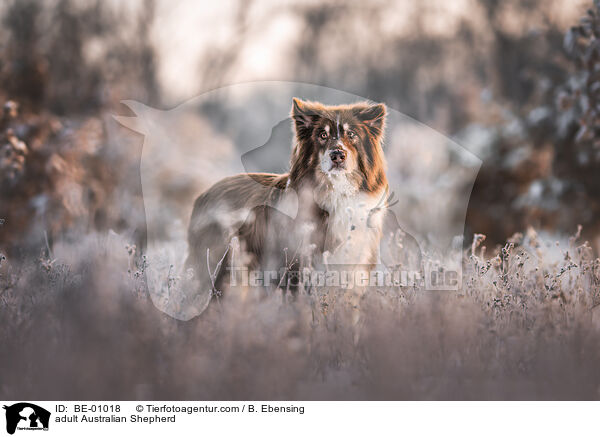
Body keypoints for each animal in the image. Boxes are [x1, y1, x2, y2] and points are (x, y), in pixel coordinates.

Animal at [185, 97, 412, 298]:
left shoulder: (355, 269)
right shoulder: (297, 268)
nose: (337, 155)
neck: (337, 194)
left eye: (352, 134)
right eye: (322, 135)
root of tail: (203, 194)